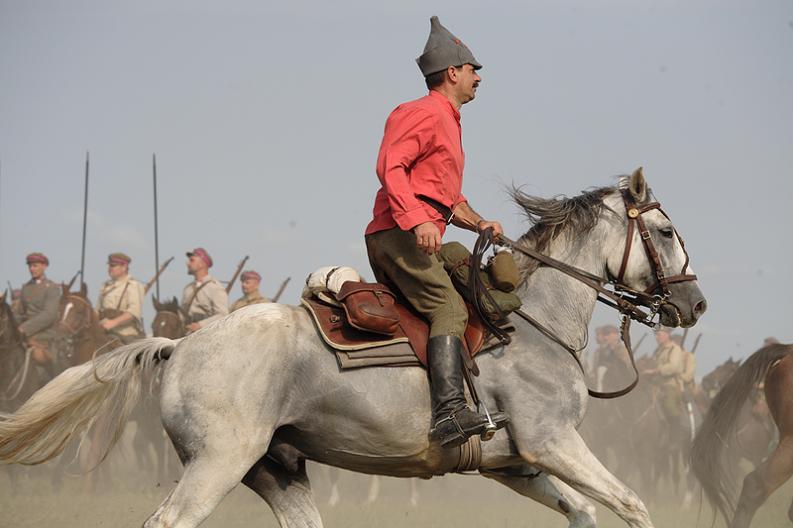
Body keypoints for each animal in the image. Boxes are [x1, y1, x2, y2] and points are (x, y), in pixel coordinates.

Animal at [0, 170, 704, 528]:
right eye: (667, 231)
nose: (695, 306)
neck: (532, 324)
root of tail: (180, 345)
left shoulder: (515, 464)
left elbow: (586, 512)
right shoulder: (552, 443)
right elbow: (633, 505)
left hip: (277, 467)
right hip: (219, 464)